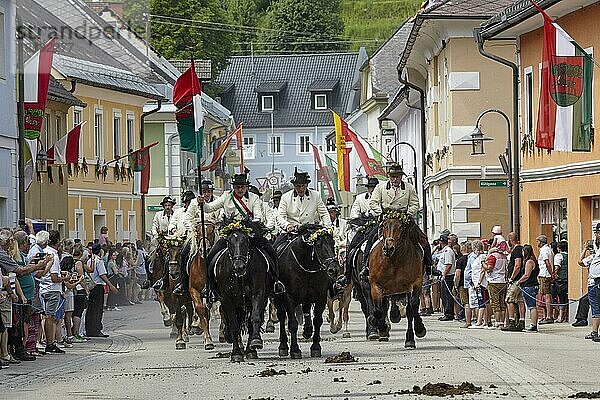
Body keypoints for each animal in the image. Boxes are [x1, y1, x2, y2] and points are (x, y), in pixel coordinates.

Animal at [213, 219, 272, 362]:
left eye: (245, 240)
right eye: (229, 241)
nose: (239, 266)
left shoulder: (258, 293)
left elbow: (254, 318)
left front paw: (255, 342)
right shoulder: (227, 299)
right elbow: (234, 325)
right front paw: (236, 353)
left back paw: (251, 349)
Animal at [274, 225, 340, 360]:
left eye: (333, 243)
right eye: (318, 245)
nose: (334, 269)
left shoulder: (321, 296)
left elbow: (317, 320)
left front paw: (316, 347)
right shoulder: (289, 297)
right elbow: (292, 323)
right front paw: (295, 350)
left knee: (306, 309)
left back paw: (307, 330)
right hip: (278, 298)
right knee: (282, 316)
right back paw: (283, 346)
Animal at [368, 214, 424, 348]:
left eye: (401, 227)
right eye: (384, 225)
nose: (389, 248)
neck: (394, 261)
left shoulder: (416, 282)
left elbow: (414, 305)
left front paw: (420, 328)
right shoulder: (375, 285)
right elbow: (378, 310)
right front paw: (381, 327)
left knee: (410, 311)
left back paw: (410, 339)